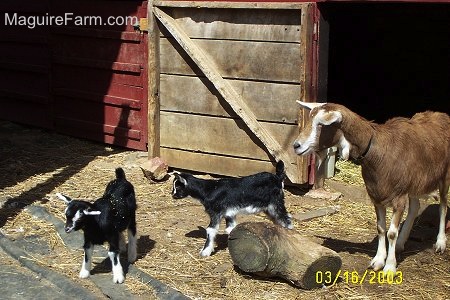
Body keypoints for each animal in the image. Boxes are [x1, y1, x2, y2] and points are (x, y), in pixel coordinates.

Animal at [294, 102, 448, 276]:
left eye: (321, 124)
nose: (296, 146)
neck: (377, 151)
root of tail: (441, 115)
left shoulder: (398, 197)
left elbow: (391, 233)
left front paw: (389, 267)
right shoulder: (377, 196)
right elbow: (381, 229)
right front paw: (378, 260)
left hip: (444, 176)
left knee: (443, 206)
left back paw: (440, 243)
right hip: (414, 182)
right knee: (415, 207)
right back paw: (401, 243)